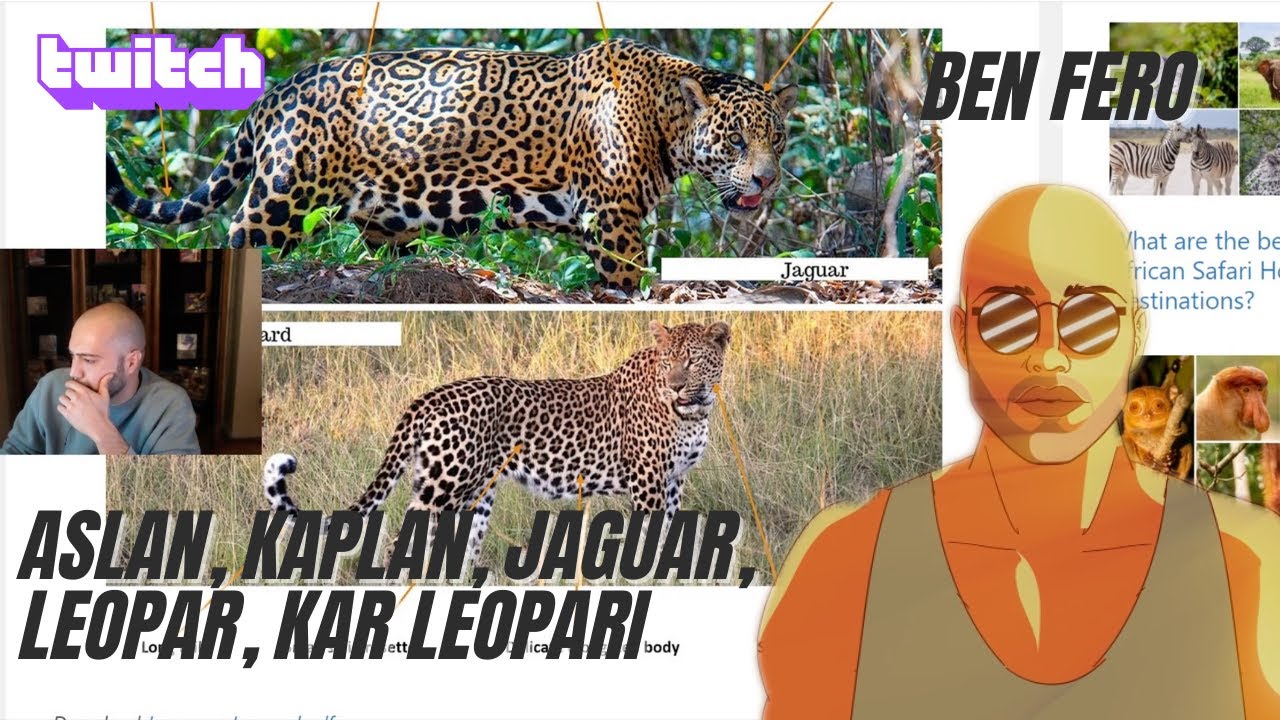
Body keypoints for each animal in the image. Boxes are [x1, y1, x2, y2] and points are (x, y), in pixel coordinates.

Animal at [105, 38, 799, 290]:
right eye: (737, 142)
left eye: (779, 140)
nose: (765, 180)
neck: (665, 118)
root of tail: (273, 92)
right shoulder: (614, 215)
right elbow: (627, 279)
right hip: (282, 194)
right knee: (242, 236)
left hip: (387, 211)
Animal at [261, 320, 731, 561]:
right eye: (668, 361)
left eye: (691, 361)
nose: (674, 386)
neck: (695, 410)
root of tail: (427, 398)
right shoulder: (649, 481)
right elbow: (649, 537)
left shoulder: (674, 480)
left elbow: (671, 531)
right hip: (445, 487)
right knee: (400, 545)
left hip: (472, 494)